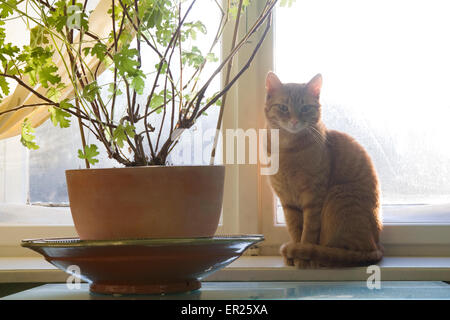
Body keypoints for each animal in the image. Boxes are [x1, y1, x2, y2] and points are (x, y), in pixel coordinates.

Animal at [264, 72, 384, 268]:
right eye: (283, 107)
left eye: (305, 108)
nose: (294, 121)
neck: (288, 150)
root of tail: (377, 247)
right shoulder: (288, 202)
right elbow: (295, 229)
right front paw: (294, 255)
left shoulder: (314, 198)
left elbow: (308, 233)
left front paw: (301, 257)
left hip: (337, 196)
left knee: (339, 252)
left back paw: (316, 258)